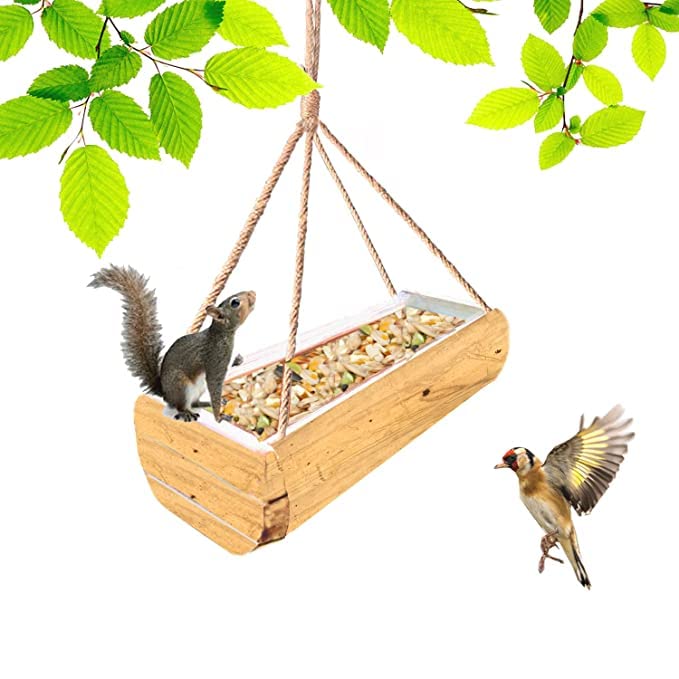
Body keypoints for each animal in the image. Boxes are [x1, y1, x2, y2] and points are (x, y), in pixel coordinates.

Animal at [89, 265, 255, 423]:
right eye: (235, 302)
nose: (253, 293)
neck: (222, 334)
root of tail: (166, 394)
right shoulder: (215, 358)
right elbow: (214, 384)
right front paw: (218, 417)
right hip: (182, 387)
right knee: (182, 405)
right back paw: (187, 413)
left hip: (198, 388)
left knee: (195, 403)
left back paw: (203, 403)